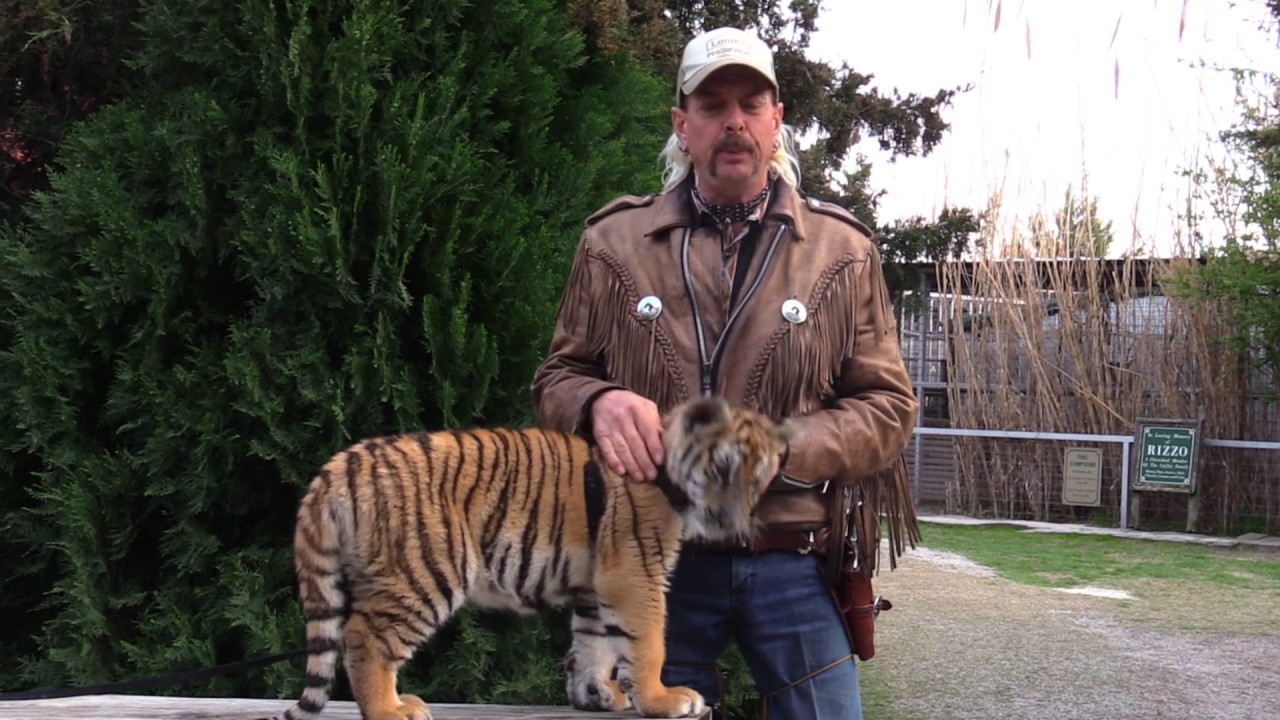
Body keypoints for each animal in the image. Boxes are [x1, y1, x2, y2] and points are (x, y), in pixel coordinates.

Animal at [268, 395, 793, 720]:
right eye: (723, 468)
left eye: (758, 479)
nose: (732, 522)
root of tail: (344, 462)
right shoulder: (635, 573)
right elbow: (646, 642)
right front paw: (663, 699)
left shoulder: (595, 584)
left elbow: (594, 644)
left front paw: (597, 694)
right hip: (425, 572)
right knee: (364, 638)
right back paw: (390, 710)